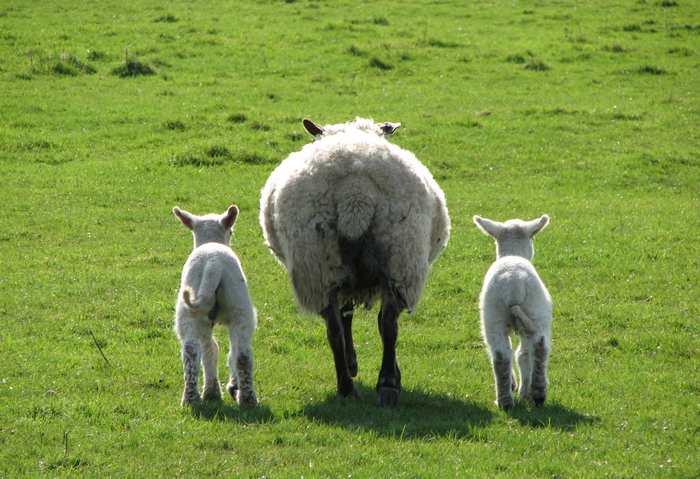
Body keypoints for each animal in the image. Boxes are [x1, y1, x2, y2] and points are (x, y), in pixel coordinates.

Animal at [172, 205, 257, 407]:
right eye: (231, 231)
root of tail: (213, 264)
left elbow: (210, 348)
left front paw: (214, 391)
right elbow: (221, 351)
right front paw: (229, 387)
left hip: (192, 311)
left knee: (192, 352)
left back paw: (193, 399)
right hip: (240, 308)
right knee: (240, 354)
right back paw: (245, 397)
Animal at [259, 117, 450, 406]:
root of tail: (356, 193)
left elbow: (346, 316)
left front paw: (353, 364)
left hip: (324, 265)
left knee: (337, 329)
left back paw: (349, 387)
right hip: (399, 258)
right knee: (387, 324)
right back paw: (385, 384)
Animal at [473, 214, 552, 410]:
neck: (512, 253)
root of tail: (514, 283)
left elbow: (521, 355)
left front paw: (521, 390)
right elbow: (522, 355)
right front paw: (523, 391)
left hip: (501, 315)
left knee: (503, 355)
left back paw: (511, 399)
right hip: (535, 313)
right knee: (535, 349)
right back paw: (532, 395)